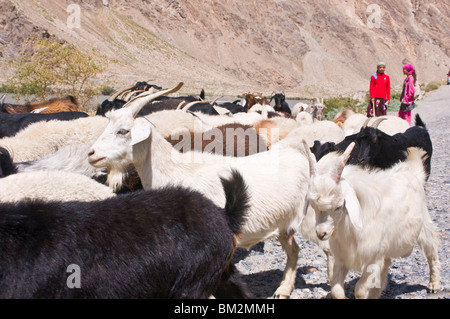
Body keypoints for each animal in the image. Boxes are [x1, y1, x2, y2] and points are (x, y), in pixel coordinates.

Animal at [89, 83, 312, 300]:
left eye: (123, 131)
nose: (92, 153)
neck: (175, 169)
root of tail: (298, 155)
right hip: (283, 226)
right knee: (294, 250)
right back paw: (284, 289)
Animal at [304, 142, 442, 300]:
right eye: (313, 206)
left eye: (338, 206)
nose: (321, 233)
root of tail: (412, 172)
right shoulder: (342, 258)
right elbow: (336, 290)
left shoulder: (372, 259)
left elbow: (360, 291)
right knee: (386, 266)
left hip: (424, 226)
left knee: (432, 252)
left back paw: (434, 285)